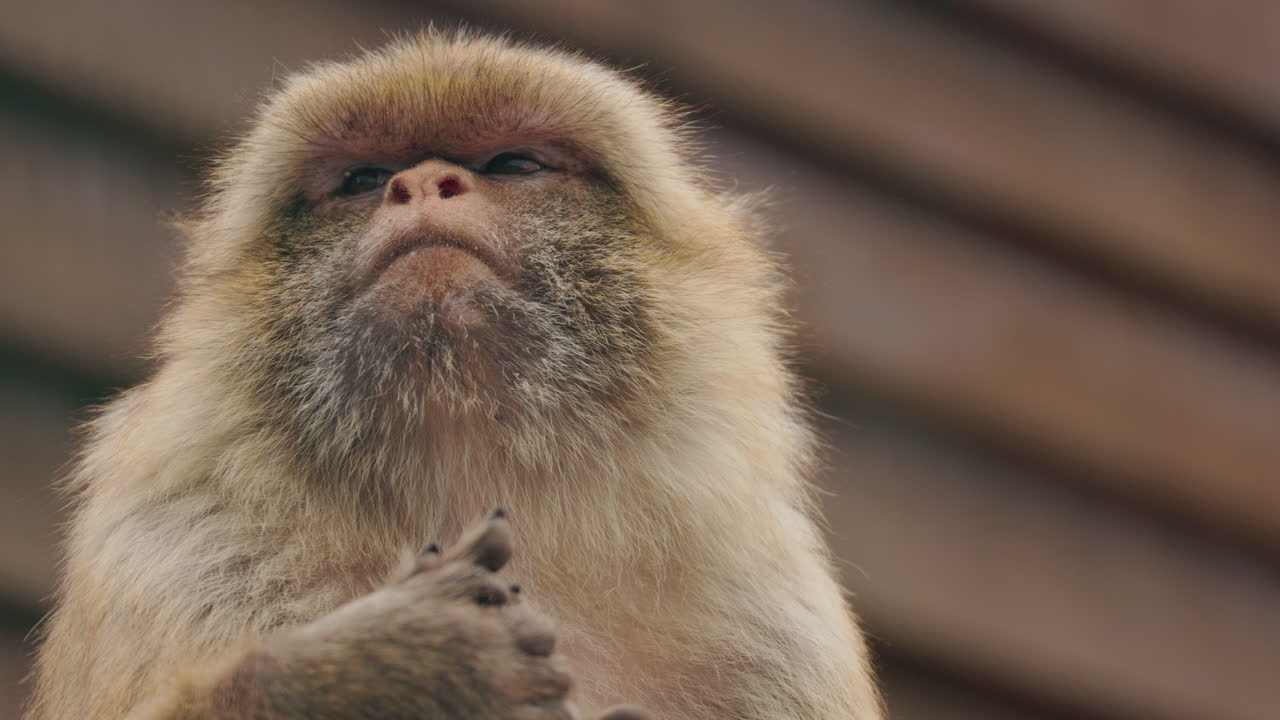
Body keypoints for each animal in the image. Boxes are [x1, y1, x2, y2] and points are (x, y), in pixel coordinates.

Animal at [28, 29, 882, 720]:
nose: (419, 184)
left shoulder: (771, 619)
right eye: (363, 180)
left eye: (514, 164)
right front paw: (387, 670)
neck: (467, 460)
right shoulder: (173, 541)